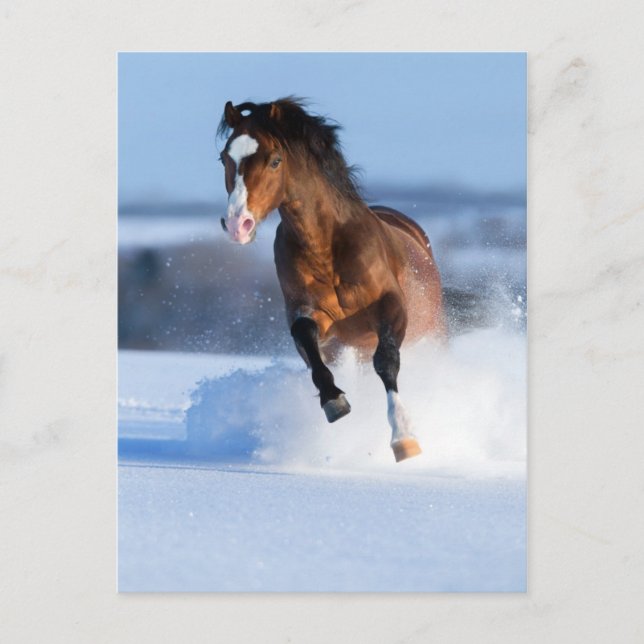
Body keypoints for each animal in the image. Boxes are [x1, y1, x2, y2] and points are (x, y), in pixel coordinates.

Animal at [217, 98, 445, 462]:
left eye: (275, 160)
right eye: (225, 158)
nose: (238, 224)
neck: (326, 247)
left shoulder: (392, 307)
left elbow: (387, 361)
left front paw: (404, 438)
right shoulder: (313, 317)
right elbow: (308, 341)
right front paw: (334, 401)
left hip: (433, 335)